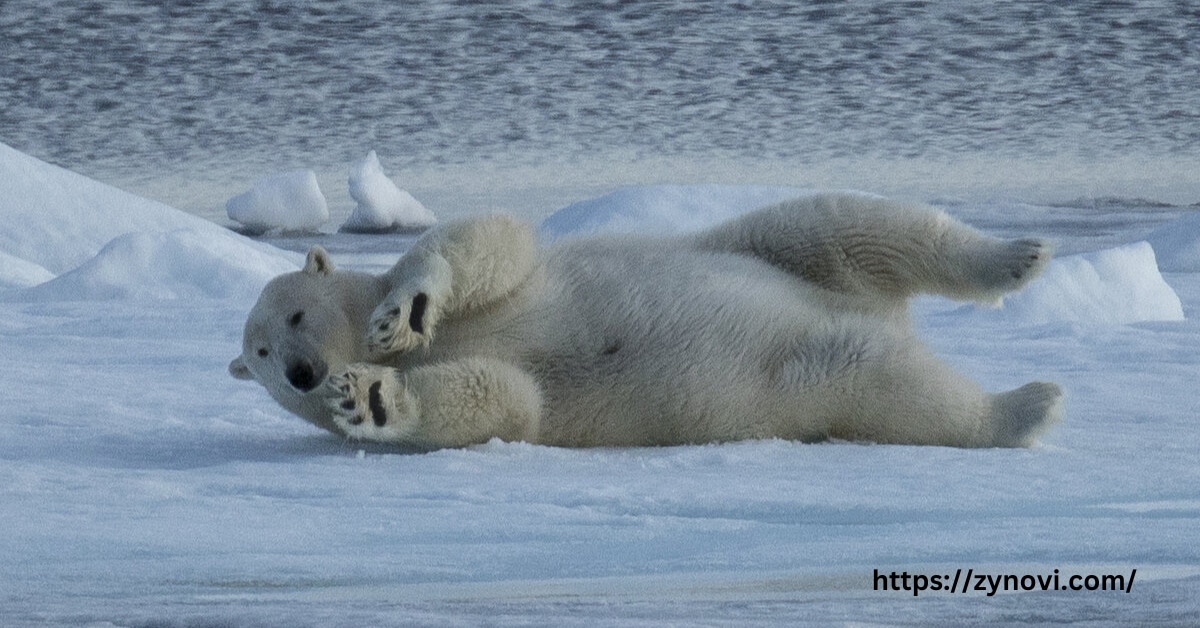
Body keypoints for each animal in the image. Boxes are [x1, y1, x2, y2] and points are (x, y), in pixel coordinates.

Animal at [229, 190, 1065, 446]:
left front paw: (405, 311)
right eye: (261, 358)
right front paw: (365, 398)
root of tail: (885, 317)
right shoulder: (516, 399)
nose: (305, 372)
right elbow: (505, 400)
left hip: (774, 250)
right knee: (892, 387)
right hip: (811, 378)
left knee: (847, 223)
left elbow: (491, 243)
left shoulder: (512, 280)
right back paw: (1022, 406)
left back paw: (1017, 258)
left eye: (294, 313)